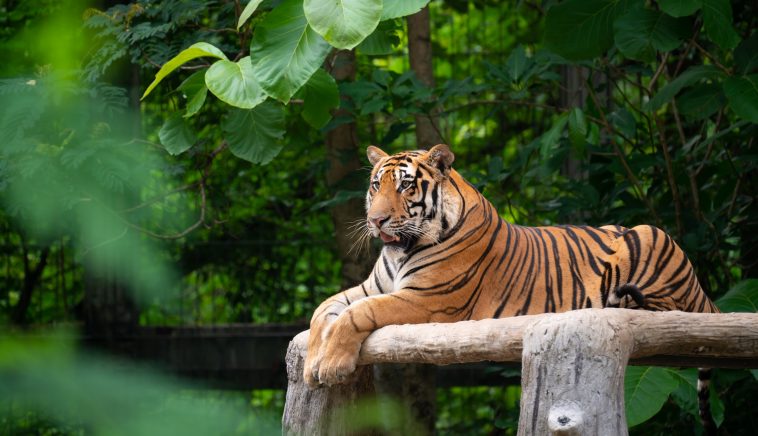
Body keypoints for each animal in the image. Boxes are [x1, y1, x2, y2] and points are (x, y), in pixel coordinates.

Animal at [304, 144, 719, 433]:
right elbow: (323, 311)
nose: (376, 221)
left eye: (406, 187)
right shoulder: (369, 286)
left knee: (668, 312)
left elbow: (358, 313)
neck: (403, 250)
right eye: (376, 186)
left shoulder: (429, 300)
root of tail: (699, 286)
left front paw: (332, 364)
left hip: (651, 236)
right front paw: (310, 366)